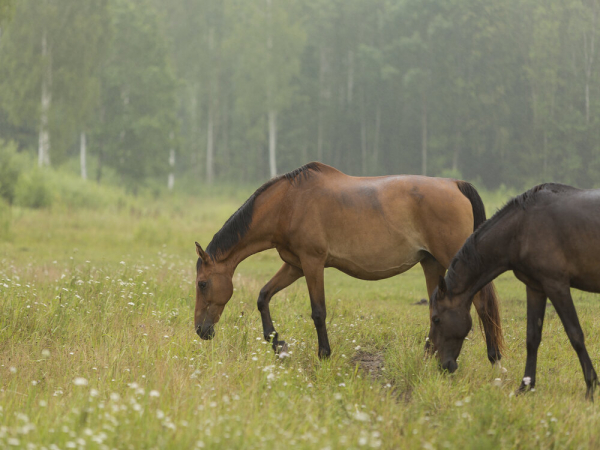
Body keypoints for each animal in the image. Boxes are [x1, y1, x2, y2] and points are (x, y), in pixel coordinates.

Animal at [193, 162, 502, 362]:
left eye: (203, 284)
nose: (200, 330)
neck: (288, 203)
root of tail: (455, 185)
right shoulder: (294, 265)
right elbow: (263, 296)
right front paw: (276, 342)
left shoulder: (312, 263)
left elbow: (318, 312)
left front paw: (324, 354)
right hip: (431, 263)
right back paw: (429, 355)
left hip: (451, 258)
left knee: (482, 304)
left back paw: (494, 356)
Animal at [428, 183, 600, 400]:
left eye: (436, 319)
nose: (443, 366)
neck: (522, 228)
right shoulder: (536, 287)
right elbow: (532, 337)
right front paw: (525, 386)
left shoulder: (556, 285)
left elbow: (575, 334)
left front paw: (590, 387)